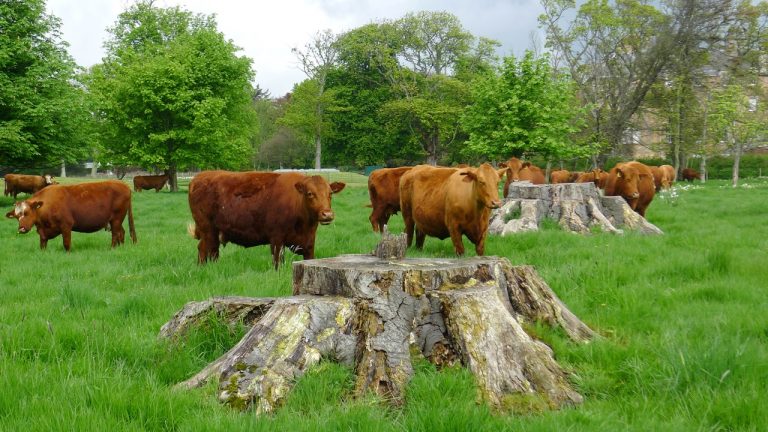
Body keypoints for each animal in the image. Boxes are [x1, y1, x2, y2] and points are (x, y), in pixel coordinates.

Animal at [5, 180, 136, 251]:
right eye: (16, 217)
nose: (21, 229)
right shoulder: (42, 232)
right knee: (121, 232)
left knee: (115, 234)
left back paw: (112, 248)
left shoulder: (66, 226)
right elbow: (42, 244)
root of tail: (124, 185)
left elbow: (66, 244)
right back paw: (120, 247)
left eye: (27, 213)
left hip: (117, 218)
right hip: (115, 220)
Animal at [188, 171, 345, 269]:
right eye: (310, 193)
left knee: (211, 251)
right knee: (205, 250)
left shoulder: (309, 244)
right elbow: (277, 264)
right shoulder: (276, 239)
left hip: (214, 233)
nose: (327, 214)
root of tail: (199, 177)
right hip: (207, 230)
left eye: (330, 193)